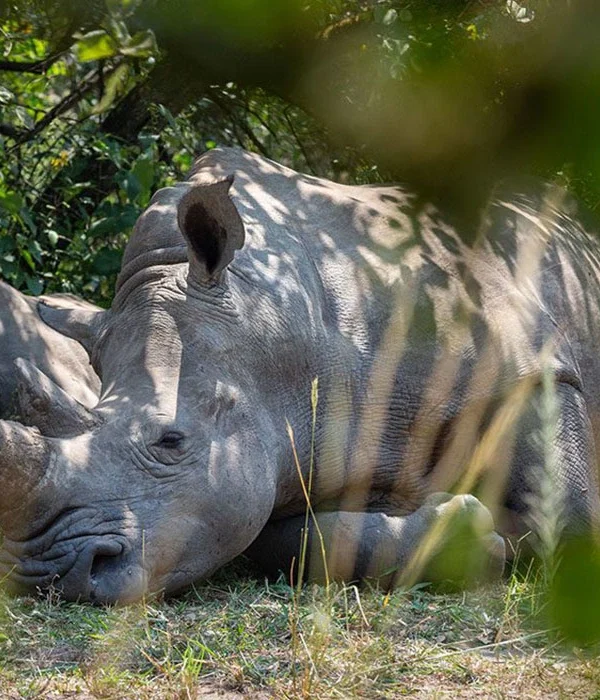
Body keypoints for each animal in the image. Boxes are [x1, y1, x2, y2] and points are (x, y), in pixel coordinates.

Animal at [0, 148, 598, 603]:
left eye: (171, 441)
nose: (54, 575)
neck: (280, 328)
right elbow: (302, 544)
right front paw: (473, 533)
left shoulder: (536, 367)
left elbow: (572, 521)